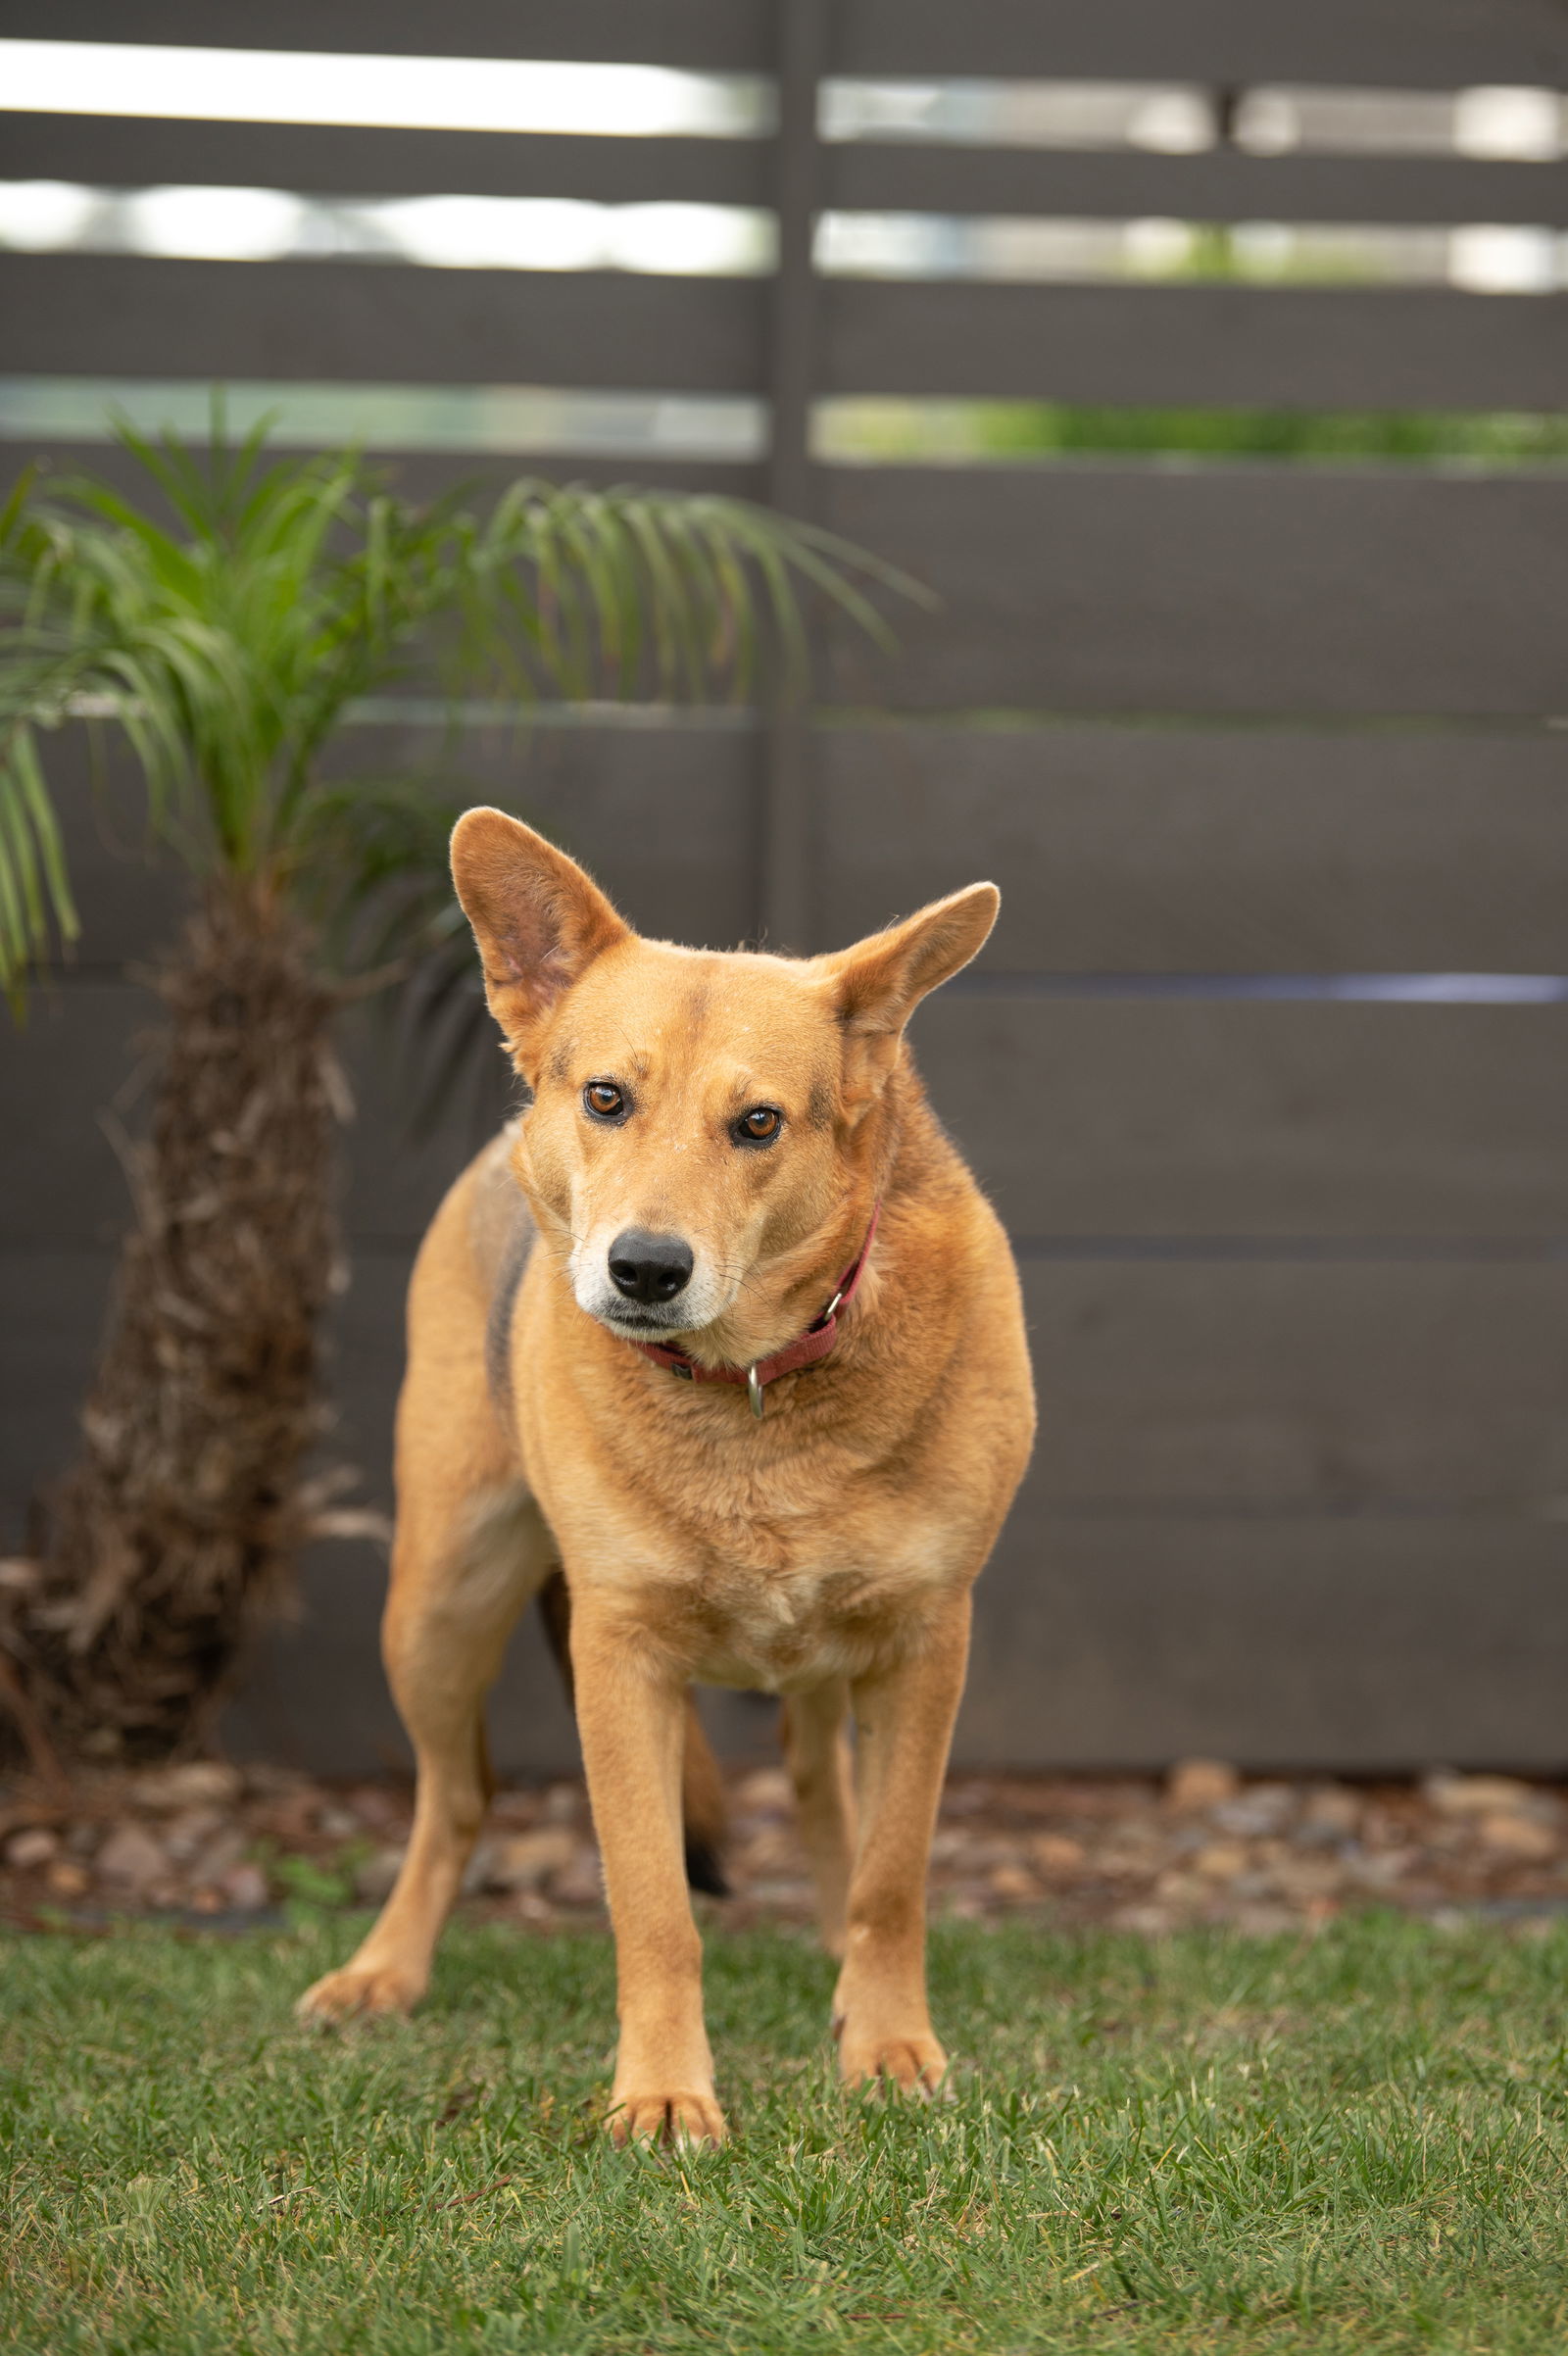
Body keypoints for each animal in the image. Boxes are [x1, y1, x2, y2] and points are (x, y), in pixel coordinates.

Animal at [299, 819, 1031, 2148]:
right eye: (606, 1098)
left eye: (759, 1123)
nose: (643, 1270)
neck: (748, 1390)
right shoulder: (620, 1654)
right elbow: (651, 1903)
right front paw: (661, 2092)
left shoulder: (924, 1639)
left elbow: (893, 1873)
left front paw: (887, 2044)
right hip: (435, 1604)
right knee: (457, 1796)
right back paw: (384, 1969)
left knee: (820, 1785)